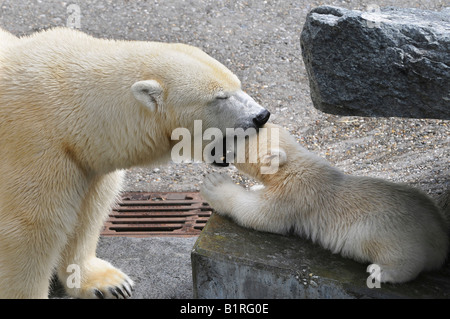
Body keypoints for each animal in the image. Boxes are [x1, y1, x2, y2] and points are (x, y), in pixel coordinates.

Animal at [0, 28, 268, 300]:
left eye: (238, 84)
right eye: (219, 96)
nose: (262, 116)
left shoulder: (85, 160)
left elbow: (89, 209)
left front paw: (111, 284)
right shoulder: (35, 149)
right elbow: (29, 230)